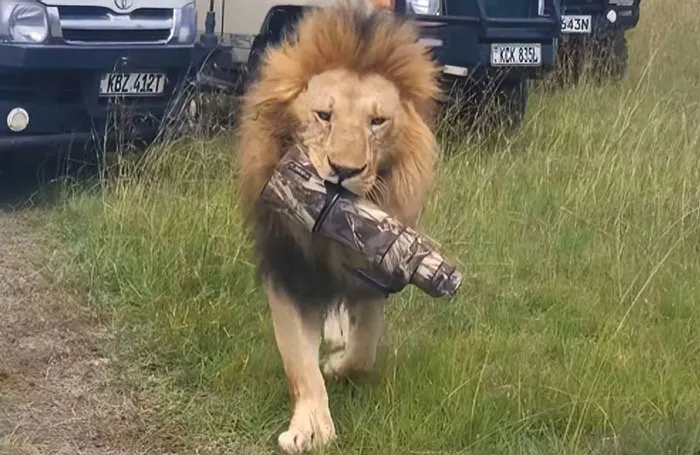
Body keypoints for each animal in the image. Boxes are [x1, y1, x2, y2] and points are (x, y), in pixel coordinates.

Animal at [235, 1, 442, 453]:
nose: (343, 171)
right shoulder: (289, 271)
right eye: (323, 116)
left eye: (377, 122)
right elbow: (299, 361)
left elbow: (364, 351)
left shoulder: (375, 273)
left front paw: (336, 365)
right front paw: (310, 427)